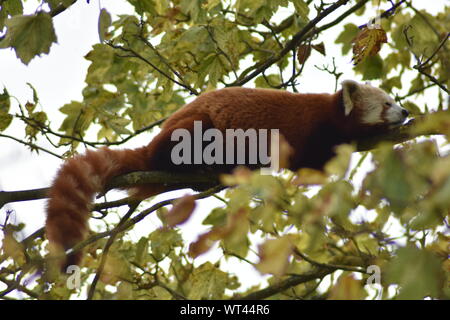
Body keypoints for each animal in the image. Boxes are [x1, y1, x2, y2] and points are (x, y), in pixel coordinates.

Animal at [44, 80, 408, 270]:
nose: (405, 111)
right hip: (193, 130)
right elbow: (308, 165)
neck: (331, 112)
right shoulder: (308, 131)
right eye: (387, 104)